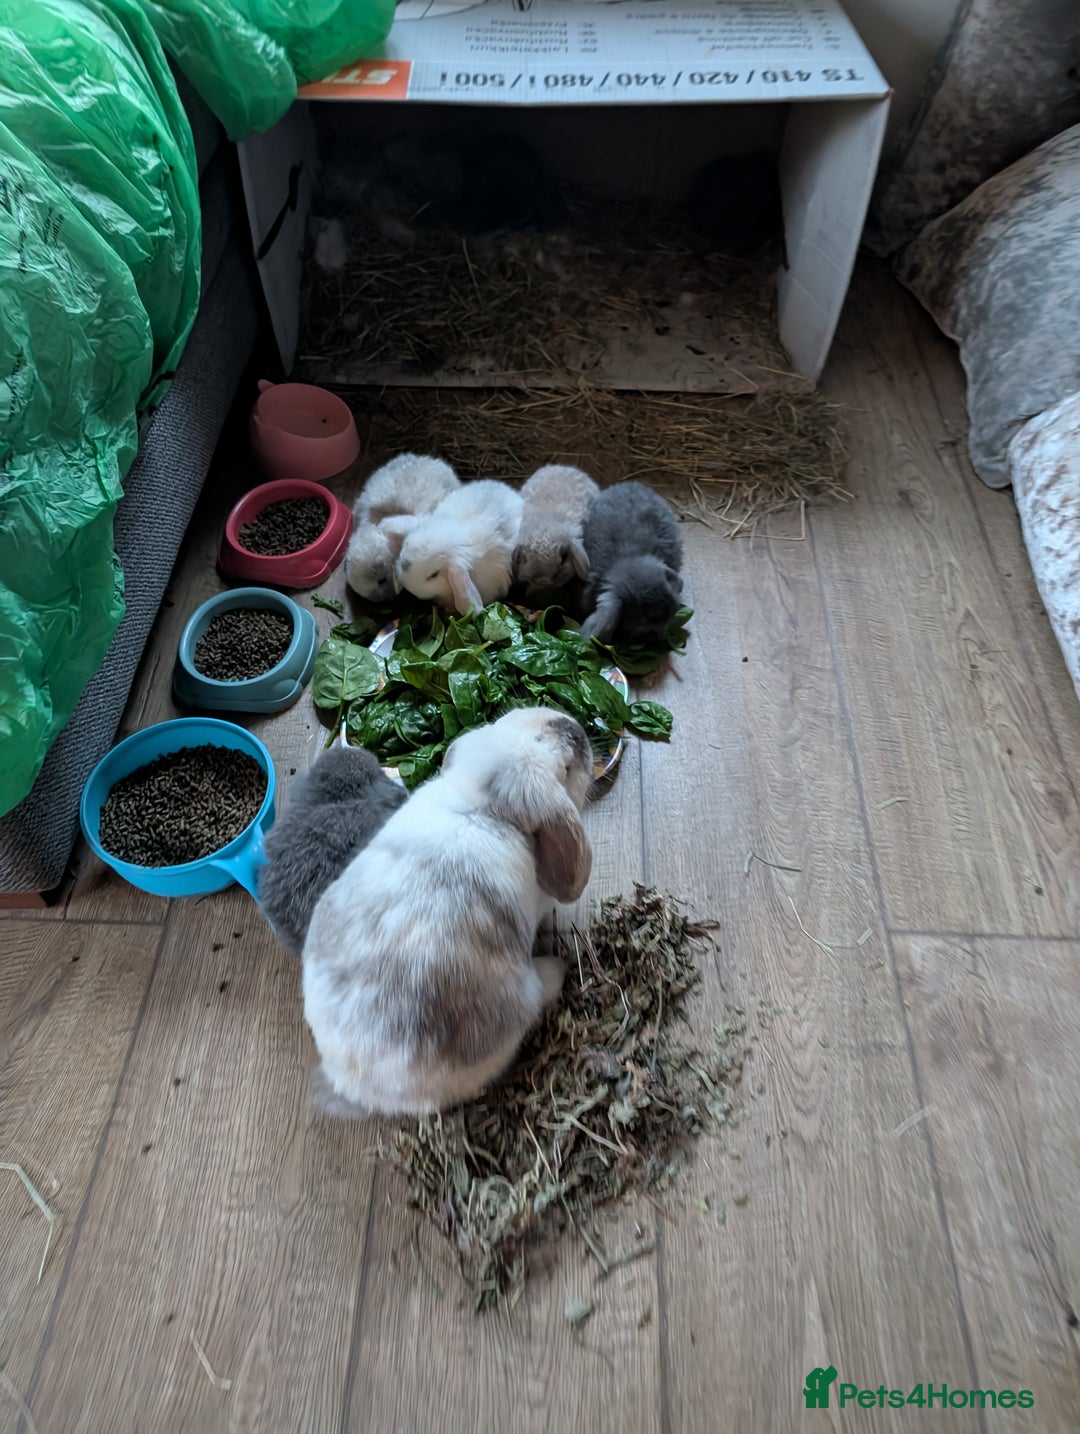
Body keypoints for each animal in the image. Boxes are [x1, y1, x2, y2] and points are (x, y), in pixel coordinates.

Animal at [301, 706, 593, 1116]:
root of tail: (358, 1081)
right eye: (567, 768)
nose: (574, 728)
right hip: (521, 1000)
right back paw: (556, 968)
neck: (487, 808)